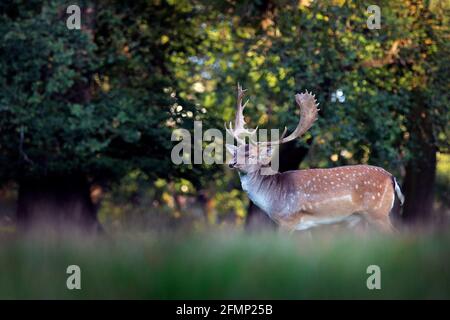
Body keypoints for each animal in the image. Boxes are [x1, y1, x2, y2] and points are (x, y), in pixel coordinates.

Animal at [225, 84, 404, 231]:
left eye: (250, 155)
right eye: (235, 152)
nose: (231, 163)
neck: (274, 198)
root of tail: (392, 177)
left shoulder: (288, 220)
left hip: (377, 212)